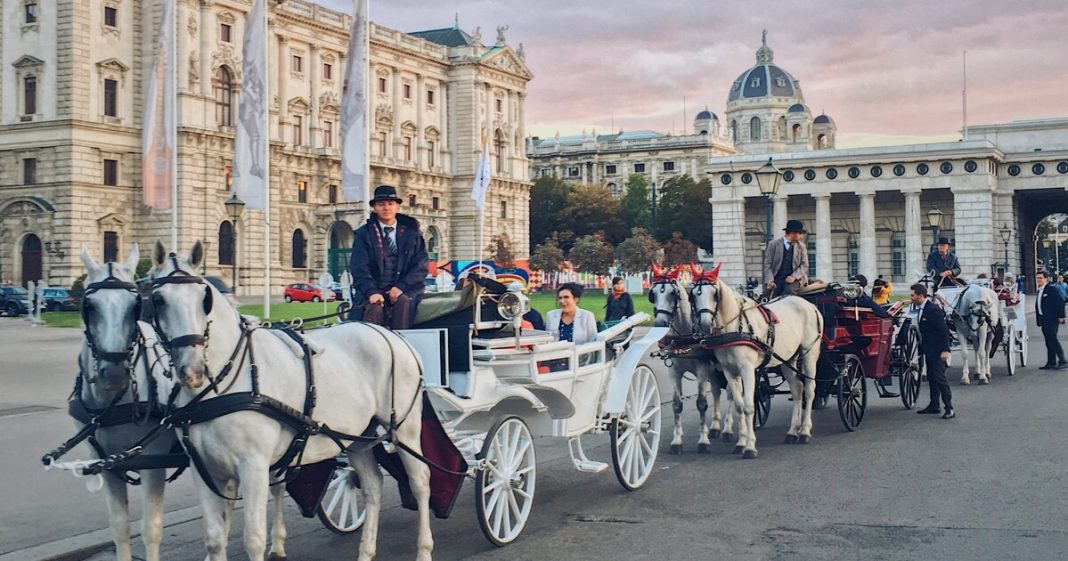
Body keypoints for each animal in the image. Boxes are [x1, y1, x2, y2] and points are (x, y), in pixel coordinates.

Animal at [148, 241, 432, 561]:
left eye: (204, 299)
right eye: (157, 299)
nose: (192, 370)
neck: (221, 386)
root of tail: (392, 334)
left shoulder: (254, 467)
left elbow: (254, 538)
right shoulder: (204, 470)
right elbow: (214, 539)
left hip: (405, 430)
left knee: (421, 481)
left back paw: (424, 549)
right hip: (359, 437)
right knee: (373, 486)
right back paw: (366, 551)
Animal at [649, 265, 733, 454]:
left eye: (672, 293)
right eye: (653, 294)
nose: (660, 324)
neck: (684, 337)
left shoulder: (701, 370)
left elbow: (701, 403)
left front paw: (703, 440)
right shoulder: (674, 372)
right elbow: (676, 404)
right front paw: (677, 440)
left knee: (731, 394)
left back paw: (727, 429)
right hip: (714, 370)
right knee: (716, 391)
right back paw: (715, 426)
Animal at [689, 272, 823, 458]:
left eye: (714, 294)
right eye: (694, 294)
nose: (705, 325)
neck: (734, 328)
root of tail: (811, 306)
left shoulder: (747, 370)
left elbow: (748, 407)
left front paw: (750, 447)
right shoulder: (730, 371)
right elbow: (739, 406)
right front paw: (741, 443)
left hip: (809, 354)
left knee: (810, 390)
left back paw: (804, 431)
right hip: (788, 359)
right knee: (797, 390)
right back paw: (792, 432)